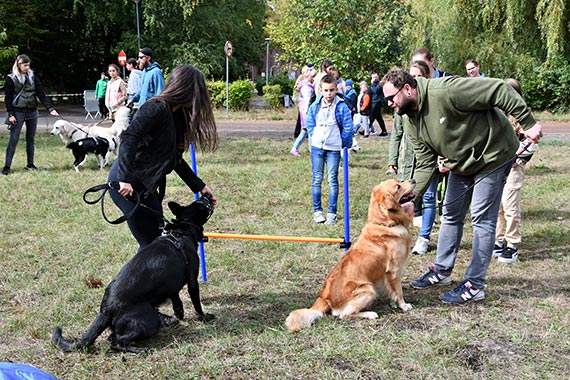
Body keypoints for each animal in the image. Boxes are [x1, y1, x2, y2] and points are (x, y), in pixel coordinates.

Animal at [52, 196, 215, 354]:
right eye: (201, 205)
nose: (207, 195)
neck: (181, 231)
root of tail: (105, 309)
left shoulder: (172, 285)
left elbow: (176, 300)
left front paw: (179, 314)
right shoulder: (192, 280)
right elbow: (197, 304)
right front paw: (204, 317)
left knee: (112, 338)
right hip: (148, 322)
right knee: (114, 342)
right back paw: (140, 349)